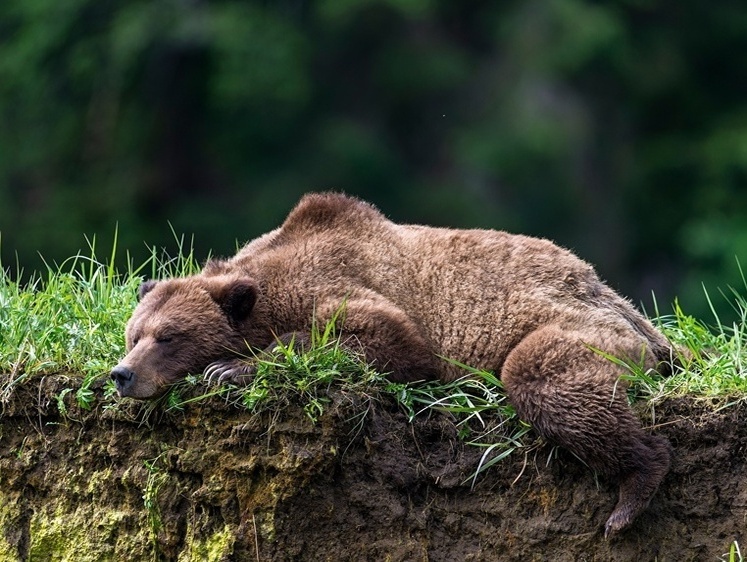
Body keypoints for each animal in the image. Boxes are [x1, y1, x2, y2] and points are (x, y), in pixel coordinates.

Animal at [112, 190, 676, 536]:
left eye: (168, 337)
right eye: (133, 334)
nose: (122, 374)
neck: (270, 289)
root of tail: (610, 292)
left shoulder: (352, 286)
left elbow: (385, 340)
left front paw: (231, 367)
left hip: (576, 324)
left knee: (543, 376)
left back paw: (630, 495)